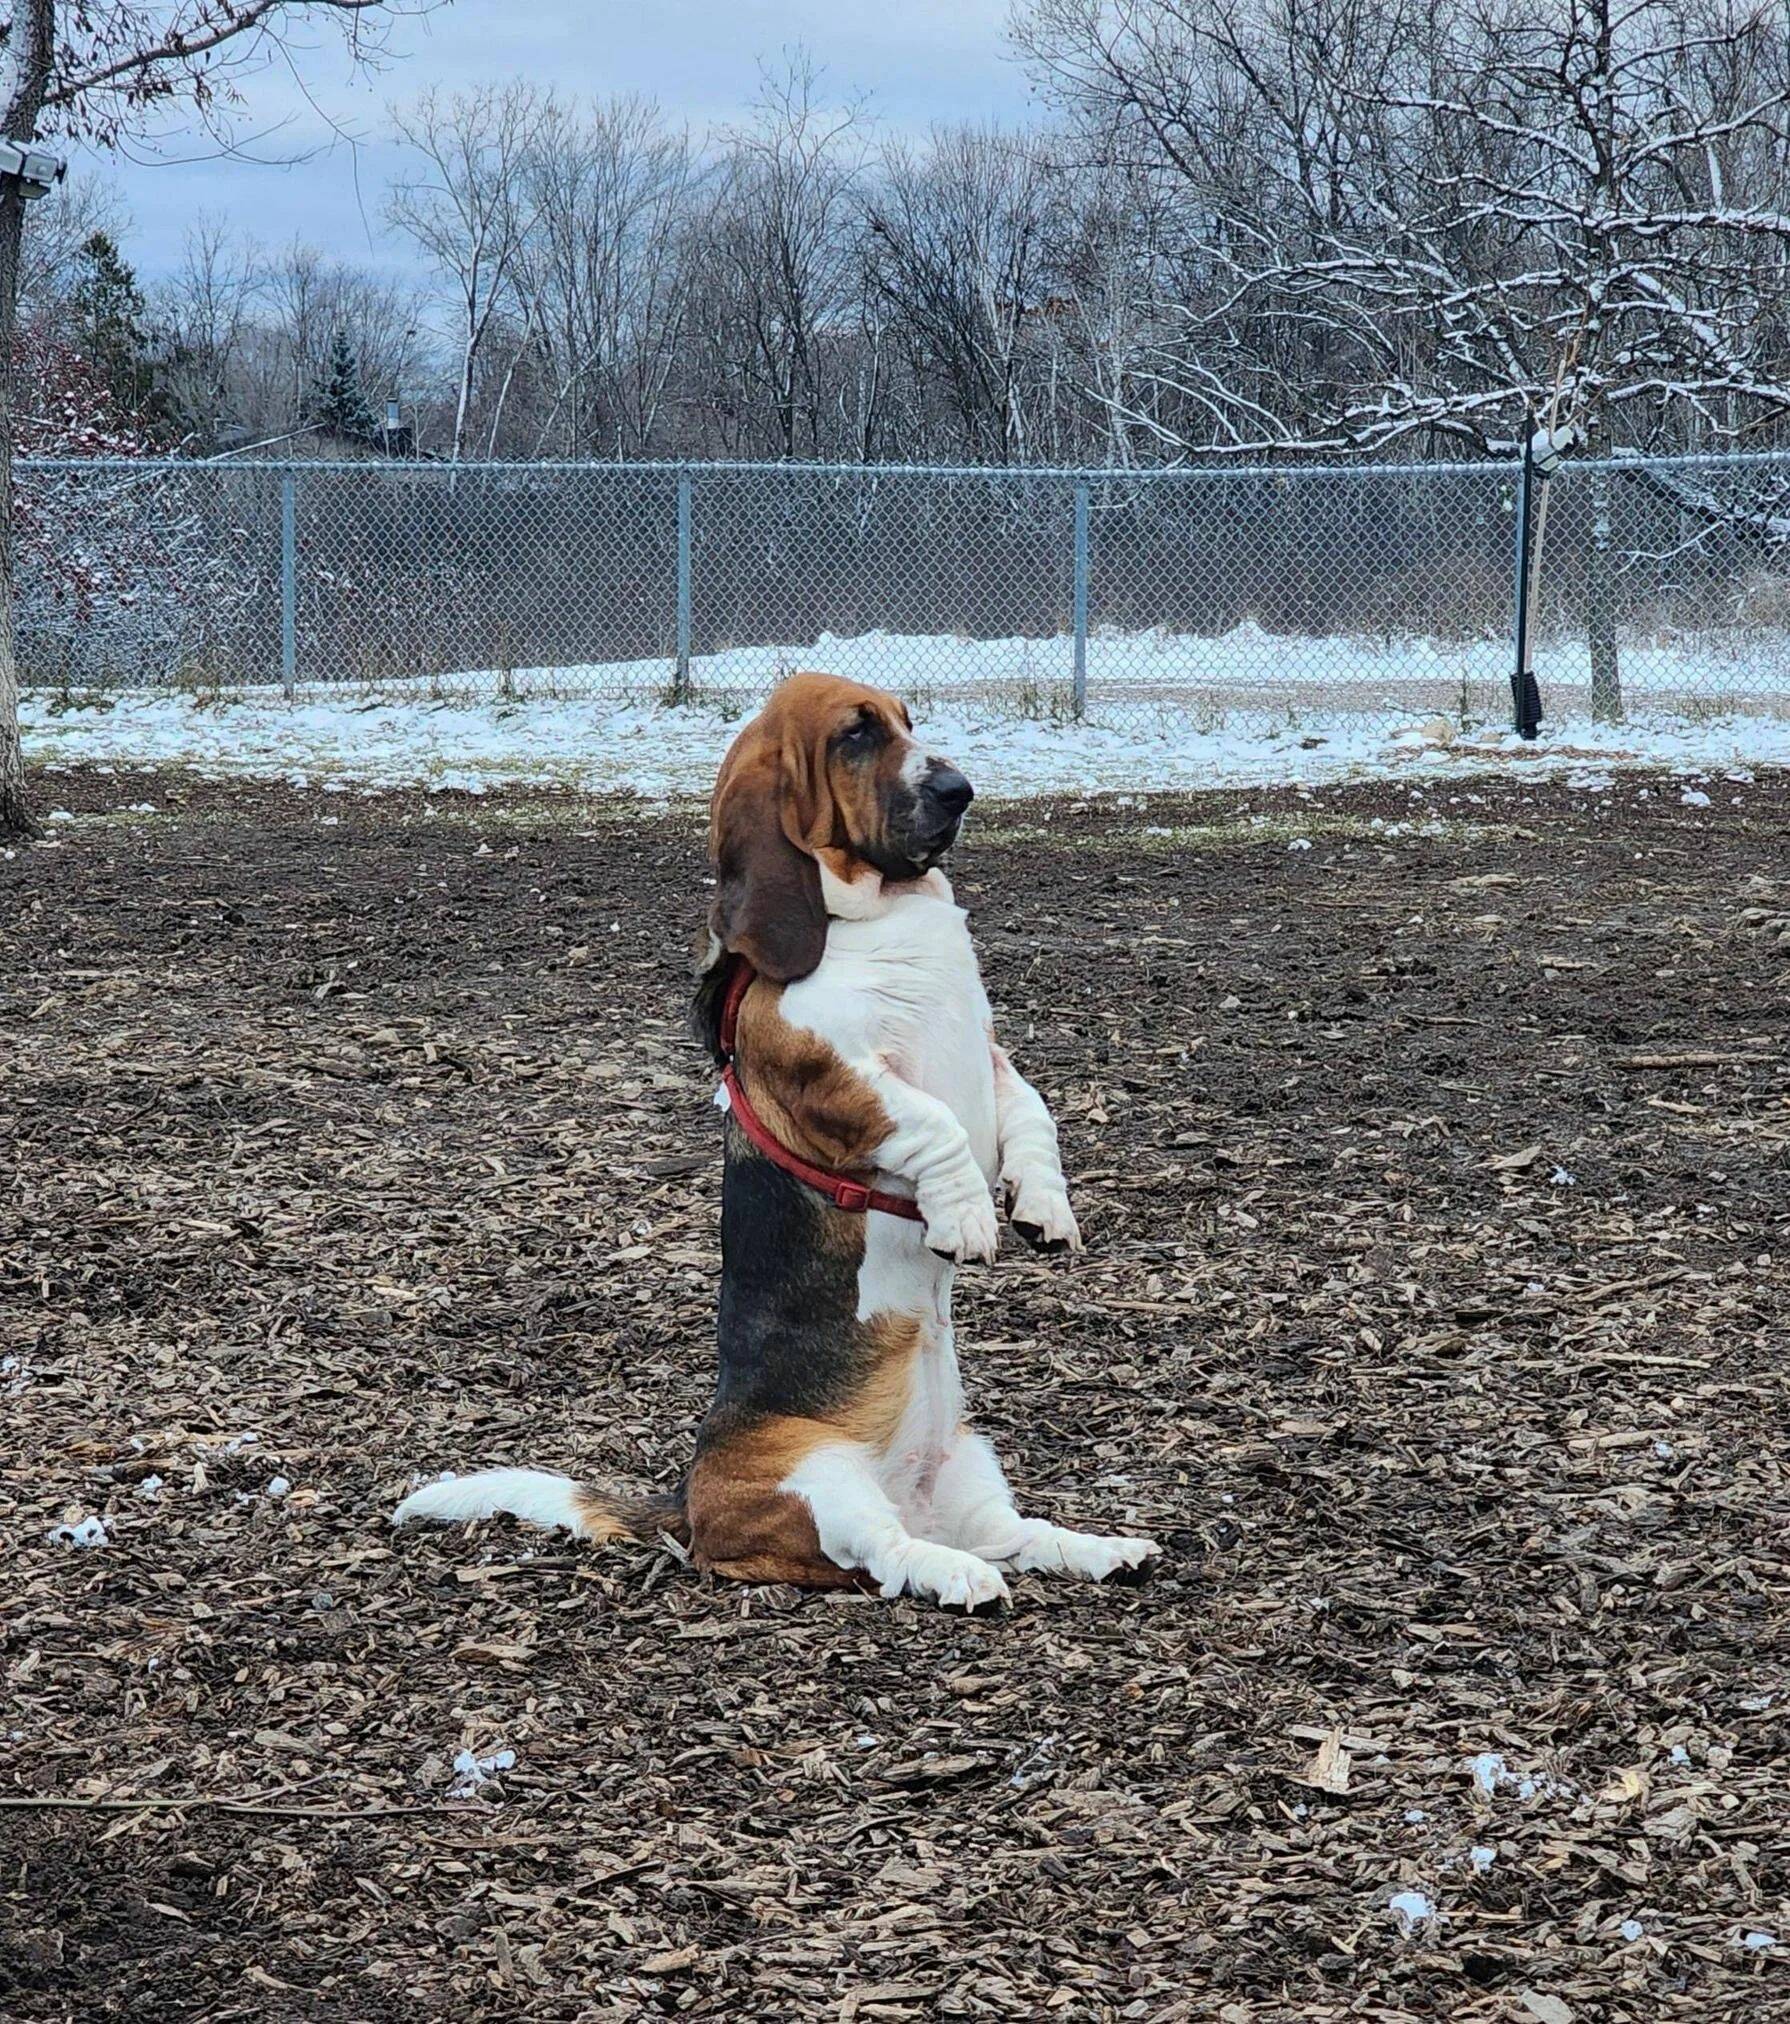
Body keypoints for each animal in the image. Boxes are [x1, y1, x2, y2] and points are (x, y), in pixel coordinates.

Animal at [394, 680, 1158, 1611]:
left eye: (905, 721)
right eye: (855, 736)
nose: (959, 790)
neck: (882, 908)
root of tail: (688, 1495)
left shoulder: (990, 1058)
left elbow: (1034, 1115)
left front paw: (1045, 1208)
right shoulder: (841, 1076)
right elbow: (936, 1126)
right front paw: (969, 1217)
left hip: (971, 1456)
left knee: (1010, 1536)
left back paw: (1099, 1548)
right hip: (818, 1478)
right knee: (887, 1555)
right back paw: (956, 1575)